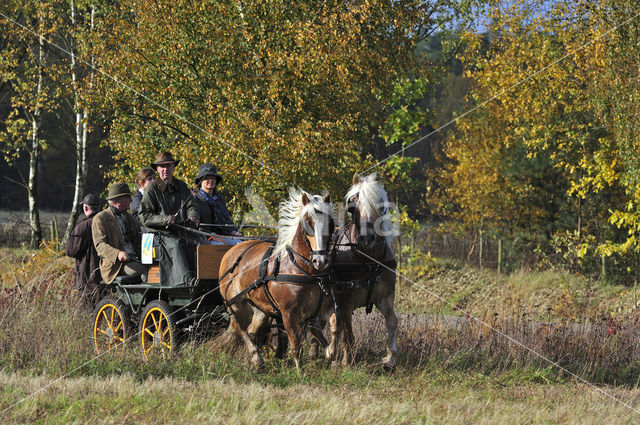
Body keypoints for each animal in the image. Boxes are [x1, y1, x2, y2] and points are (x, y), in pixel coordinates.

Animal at [219, 188, 336, 368]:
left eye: (330, 223)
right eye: (307, 221)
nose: (320, 260)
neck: (306, 272)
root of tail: (231, 251)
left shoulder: (322, 309)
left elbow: (331, 329)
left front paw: (330, 352)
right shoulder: (288, 313)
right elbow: (295, 344)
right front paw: (299, 370)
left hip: (260, 310)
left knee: (251, 331)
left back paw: (254, 360)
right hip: (236, 304)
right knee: (240, 328)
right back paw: (256, 357)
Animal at [324, 172, 400, 368]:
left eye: (382, 206)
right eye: (352, 208)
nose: (367, 237)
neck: (368, 260)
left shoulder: (385, 296)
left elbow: (392, 321)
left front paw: (390, 358)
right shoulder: (344, 298)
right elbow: (346, 330)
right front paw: (346, 360)